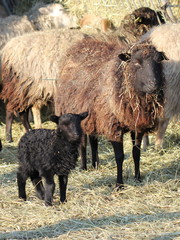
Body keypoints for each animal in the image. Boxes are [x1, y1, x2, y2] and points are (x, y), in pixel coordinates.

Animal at [53, 35, 165, 187]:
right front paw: (119, 184)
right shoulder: (113, 126)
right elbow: (119, 156)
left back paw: (95, 164)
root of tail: (80, 45)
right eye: (136, 63)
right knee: (82, 142)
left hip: (92, 116)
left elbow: (136, 153)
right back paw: (83, 166)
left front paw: (138, 177)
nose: (154, 85)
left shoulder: (138, 125)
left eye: (159, 61)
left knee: (93, 140)